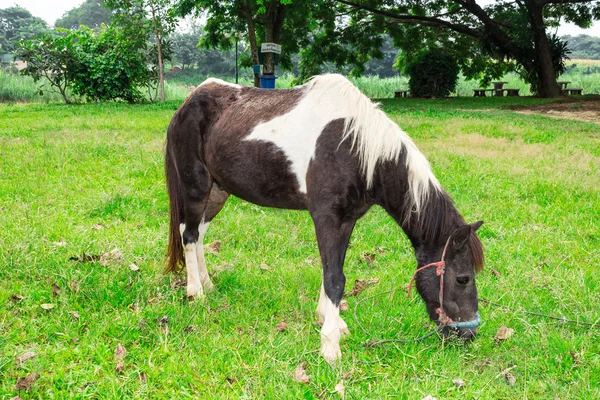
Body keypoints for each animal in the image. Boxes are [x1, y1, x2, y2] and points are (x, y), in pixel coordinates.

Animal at [163, 72, 482, 362]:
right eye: (463, 278)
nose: (468, 334)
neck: (355, 147)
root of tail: (187, 103)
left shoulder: (347, 219)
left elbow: (333, 268)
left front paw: (331, 321)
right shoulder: (326, 217)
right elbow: (334, 278)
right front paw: (330, 346)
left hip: (218, 192)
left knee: (199, 234)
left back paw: (207, 284)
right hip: (196, 186)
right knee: (188, 235)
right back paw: (195, 293)